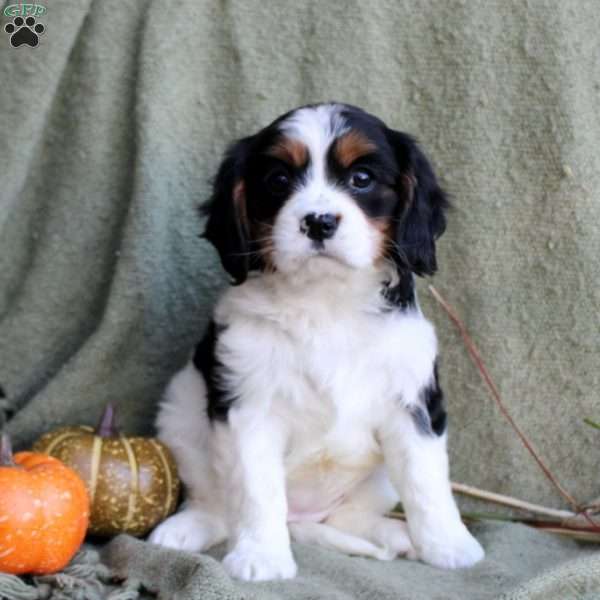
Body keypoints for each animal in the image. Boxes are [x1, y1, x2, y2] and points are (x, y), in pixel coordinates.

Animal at [150, 103, 482, 580]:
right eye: (278, 180)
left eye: (362, 178)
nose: (319, 221)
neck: (325, 300)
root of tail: (303, 518)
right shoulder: (248, 406)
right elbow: (255, 491)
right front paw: (261, 558)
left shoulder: (413, 404)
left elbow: (426, 483)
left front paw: (449, 546)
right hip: (179, 414)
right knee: (217, 506)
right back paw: (186, 529)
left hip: (376, 481)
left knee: (349, 517)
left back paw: (395, 535)